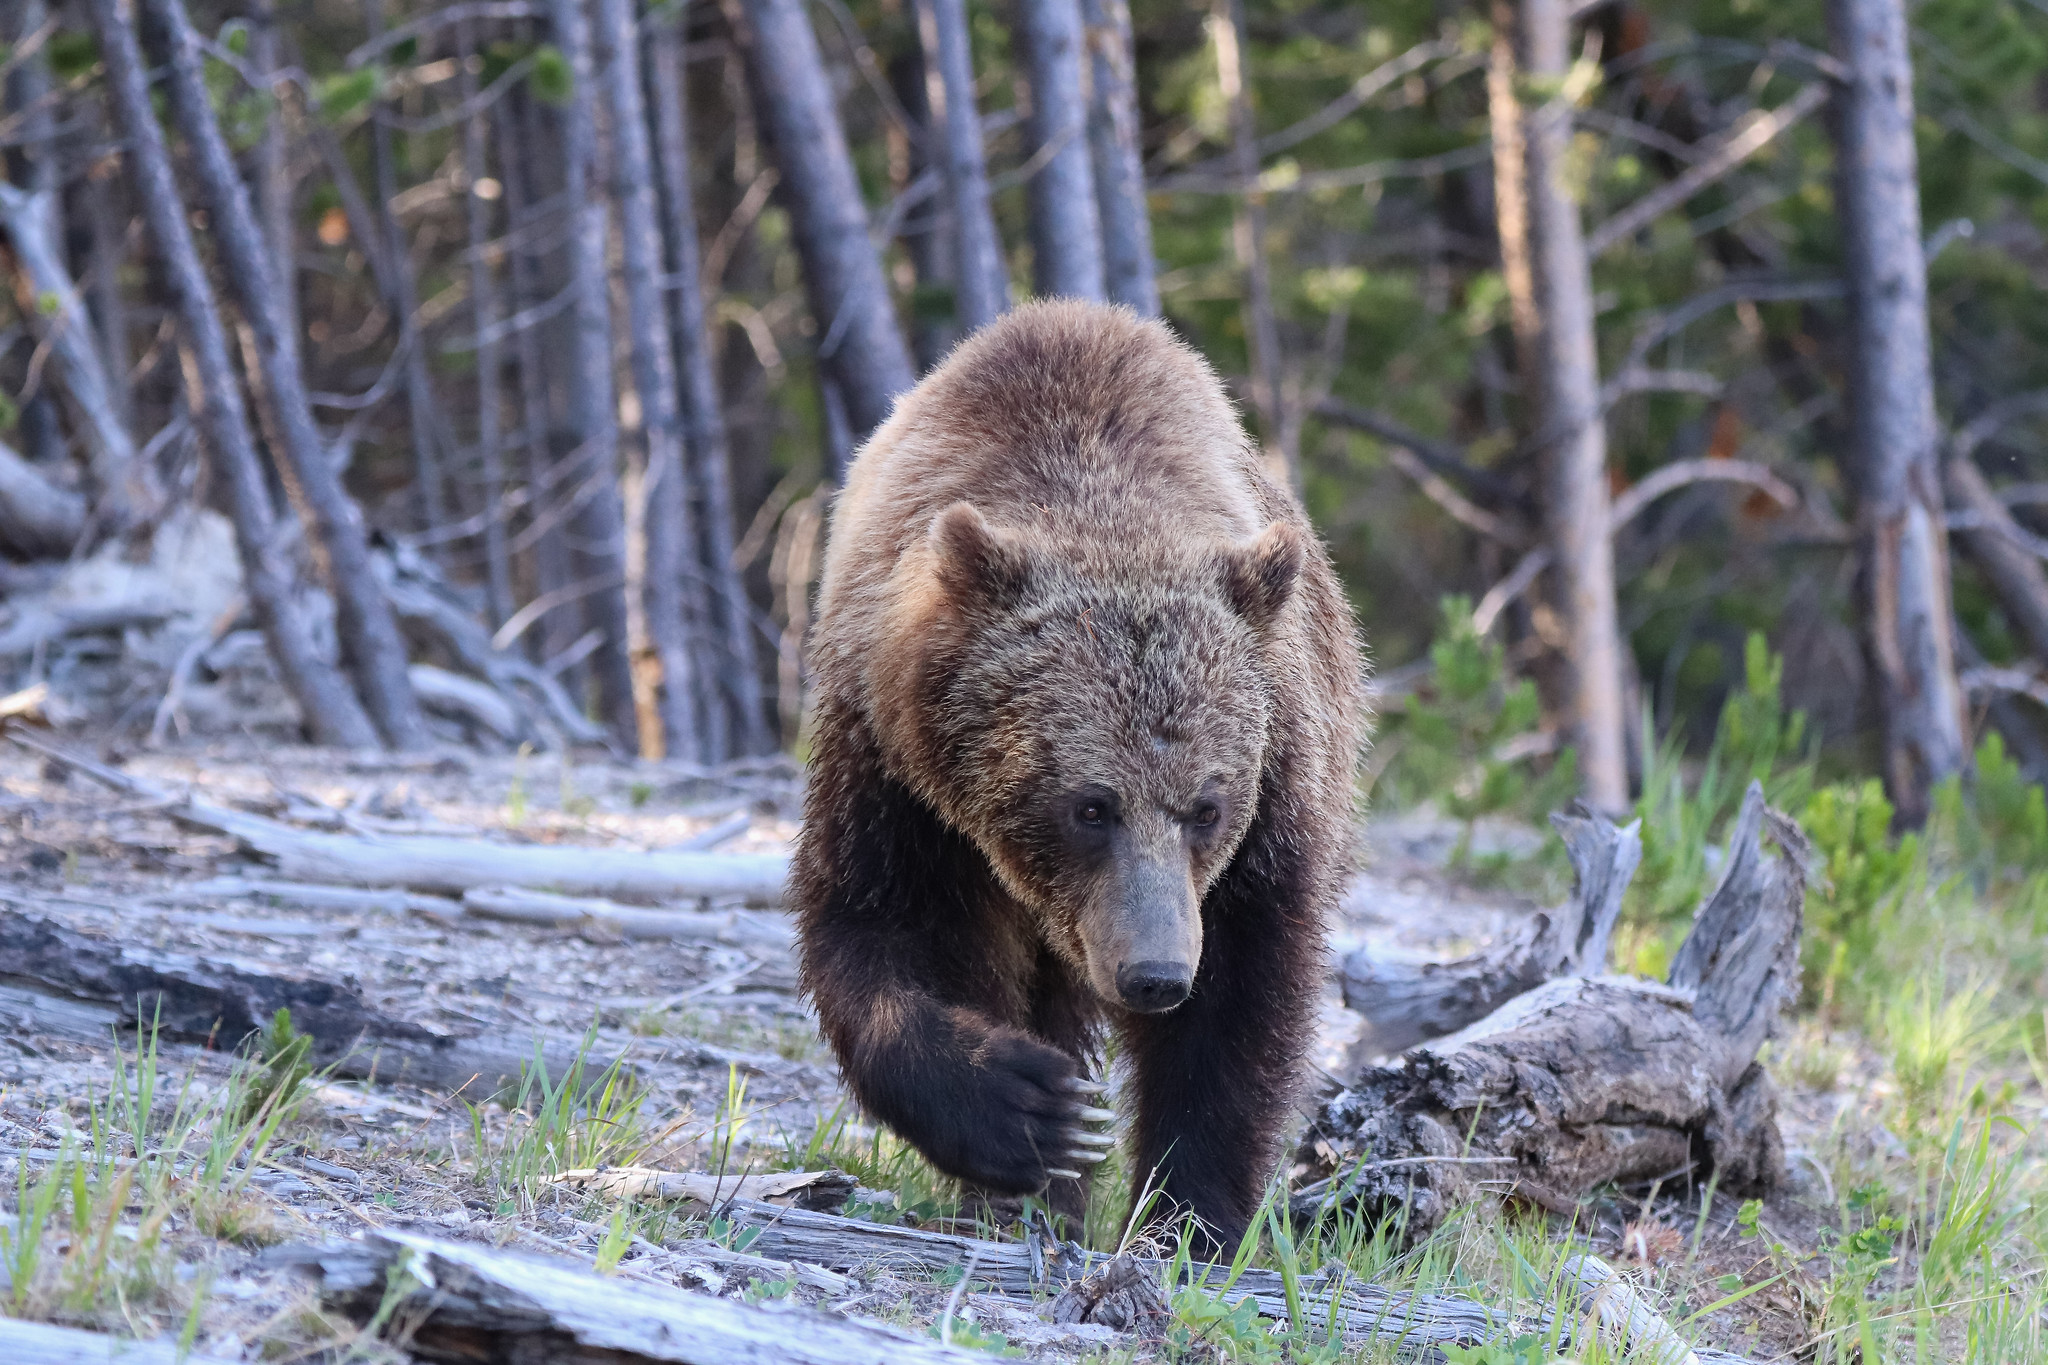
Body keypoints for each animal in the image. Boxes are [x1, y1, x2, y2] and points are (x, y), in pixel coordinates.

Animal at [790, 298, 1368, 1252]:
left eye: (1207, 807)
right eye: (1090, 806)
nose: (1155, 973)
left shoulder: (1277, 780)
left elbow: (1241, 998)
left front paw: (1187, 1214)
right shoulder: (894, 769)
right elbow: (881, 928)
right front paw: (1032, 1112)